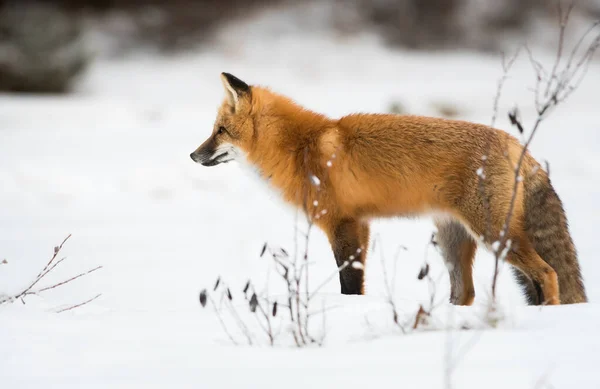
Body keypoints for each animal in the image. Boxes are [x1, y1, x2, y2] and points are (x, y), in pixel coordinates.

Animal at [191, 71, 584, 304]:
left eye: (220, 131)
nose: (193, 155)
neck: (300, 147)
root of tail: (519, 145)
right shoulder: (361, 224)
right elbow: (358, 285)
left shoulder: (342, 223)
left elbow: (348, 284)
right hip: (453, 240)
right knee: (466, 292)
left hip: (494, 235)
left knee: (547, 273)